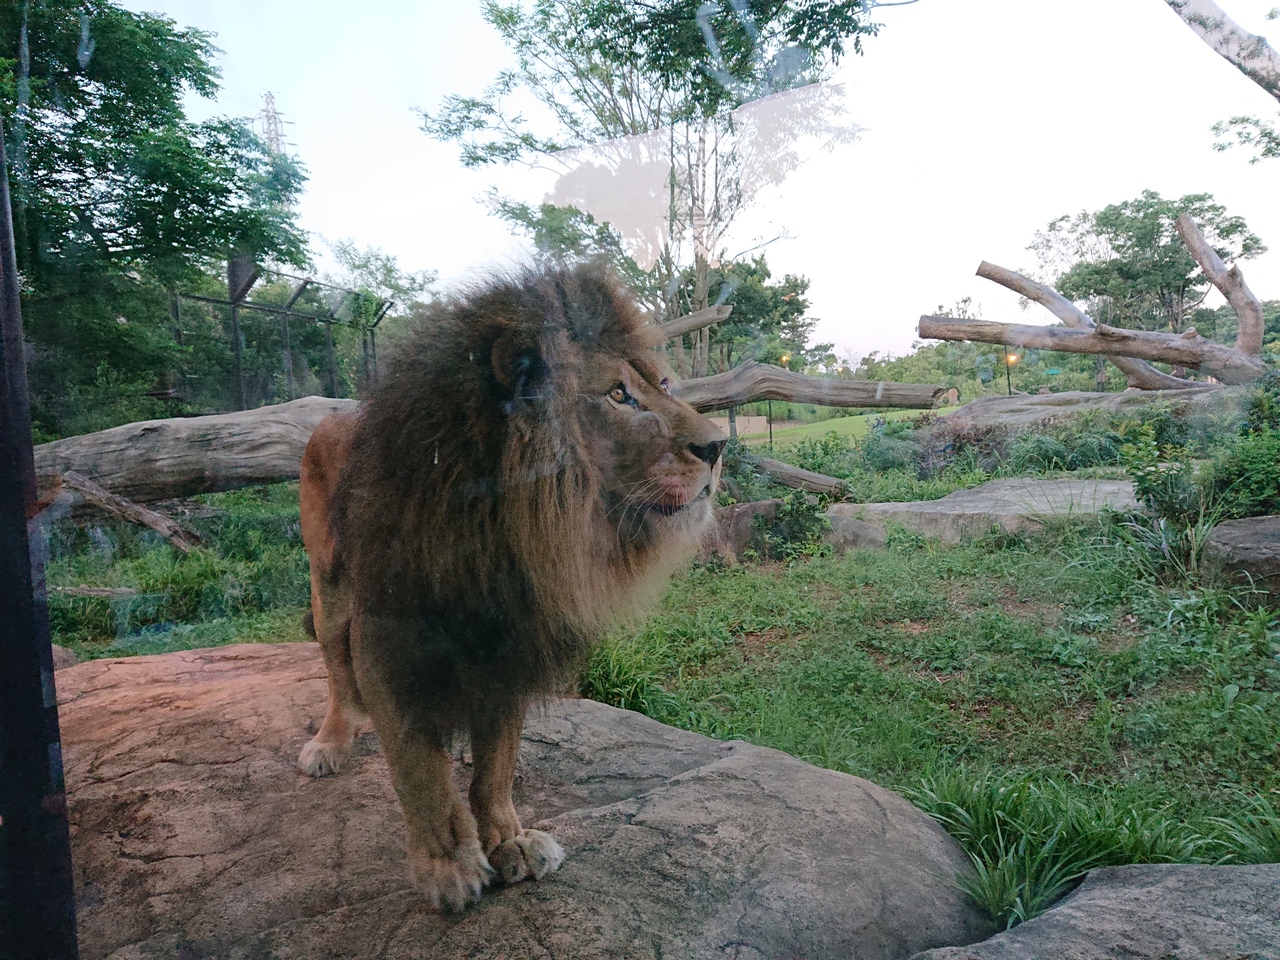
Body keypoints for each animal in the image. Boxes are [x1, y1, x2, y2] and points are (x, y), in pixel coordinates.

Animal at [293, 267, 727, 911]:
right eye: (617, 395)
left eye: (664, 383)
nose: (719, 445)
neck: (502, 537)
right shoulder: (390, 641)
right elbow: (419, 771)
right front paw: (448, 865)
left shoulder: (514, 643)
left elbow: (497, 764)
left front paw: (508, 841)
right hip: (330, 589)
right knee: (338, 674)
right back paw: (331, 742)